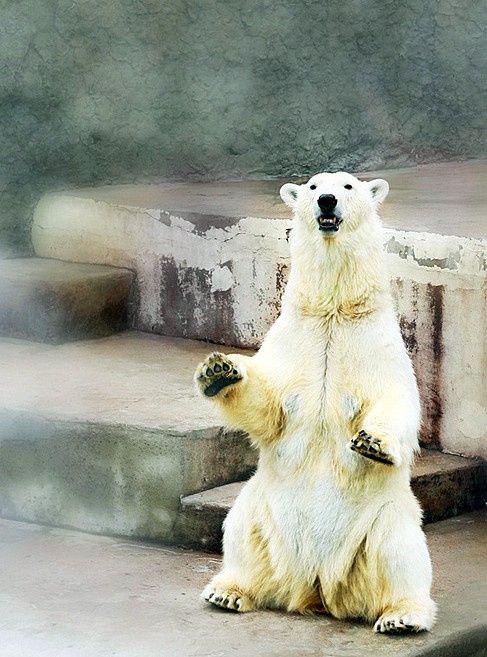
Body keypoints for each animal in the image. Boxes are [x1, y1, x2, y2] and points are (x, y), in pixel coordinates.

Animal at [194, 172, 438, 632]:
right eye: (311, 186)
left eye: (347, 186)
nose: (326, 200)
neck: (334, 311)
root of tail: (316, 587)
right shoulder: (296, 337)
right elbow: (271, 405)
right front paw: (219, 369)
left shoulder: (374, 346)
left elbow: (396, 401)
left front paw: (372, 442)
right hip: (262, 505)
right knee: (238, 531)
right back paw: (228, 591)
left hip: (382, 515)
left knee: (400, 550)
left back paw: (402, 616)